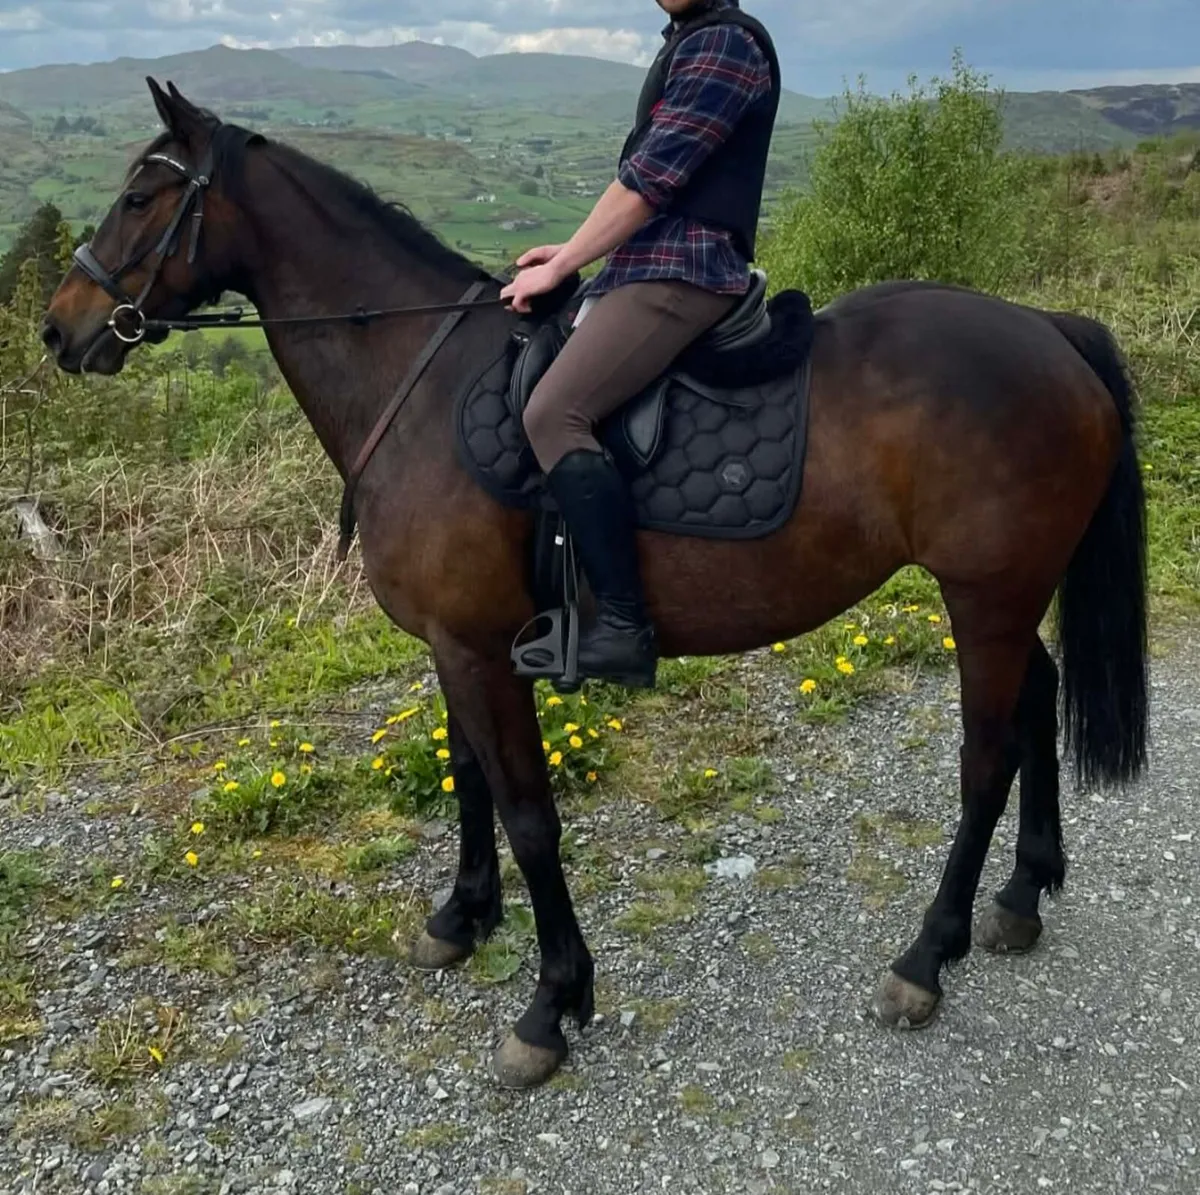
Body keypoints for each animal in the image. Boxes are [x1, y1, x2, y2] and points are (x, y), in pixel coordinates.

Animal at [40, 80, 1148, 1089]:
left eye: (140, 196)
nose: (59, 329)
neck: (416, 379)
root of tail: (1049, 329)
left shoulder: (481, 647)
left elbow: (530, 814)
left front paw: (551, 1002)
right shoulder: (456, 644)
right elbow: (471, 779)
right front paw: (461, 917)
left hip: (985, 594)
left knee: (986, 757)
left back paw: (927, 954)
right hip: (1004, 592)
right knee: (1039, 701)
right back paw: (1021, 896)